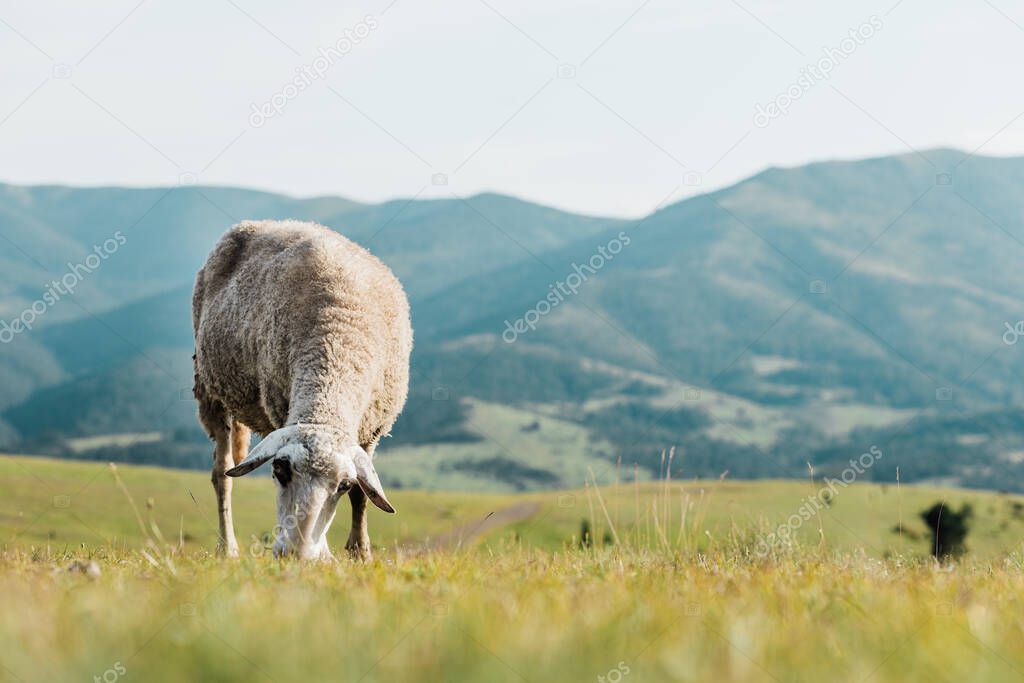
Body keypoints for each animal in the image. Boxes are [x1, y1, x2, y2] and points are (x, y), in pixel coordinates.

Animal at [192, 220, 411, 561]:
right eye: (279, 469)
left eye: (343, 485)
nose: (296, 553)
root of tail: (263, 222)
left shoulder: (373, 429)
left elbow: (363, 495)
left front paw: (360, 552)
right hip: (210, 389)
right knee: (221, 475)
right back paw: (227, 548)